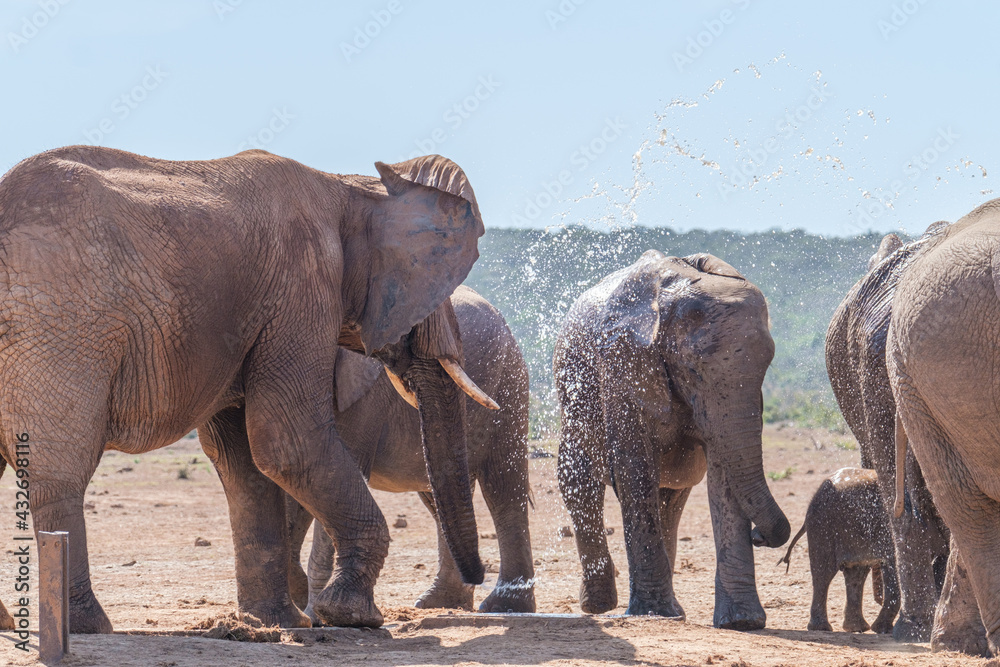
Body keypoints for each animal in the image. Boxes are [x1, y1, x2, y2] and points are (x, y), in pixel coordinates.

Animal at [0, 146, 492, 633]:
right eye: (433, 290)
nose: (480, 576)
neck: (353, 187)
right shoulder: (302, 287)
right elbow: (290, 441)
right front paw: (352, 617)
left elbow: (245, 461)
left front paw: (278, 623)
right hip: (62, 320)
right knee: (62, 466)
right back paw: (87, 625)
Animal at [285, 285, 535, 618]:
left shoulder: (364, 397)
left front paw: (316, 615)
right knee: (440, 495)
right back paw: (441, 603)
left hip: (510, 381)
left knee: (503, 488)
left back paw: (504, 606)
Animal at [554, 250, 790, 630]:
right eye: (693, 369)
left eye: (767, 363)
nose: (759, 536)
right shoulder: (622, 364)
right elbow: (634, 469)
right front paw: (653, 614)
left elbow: (725, 474)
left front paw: (742, 623)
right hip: (574, 403)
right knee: (579, 480)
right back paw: (601, 605)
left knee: (671, 499)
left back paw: (673, 609)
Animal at [779, 468, 898, 634]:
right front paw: (882, 630)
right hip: (823, 525)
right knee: (823, 573)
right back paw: (822, 628)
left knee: (856, 572)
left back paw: (857, 628)